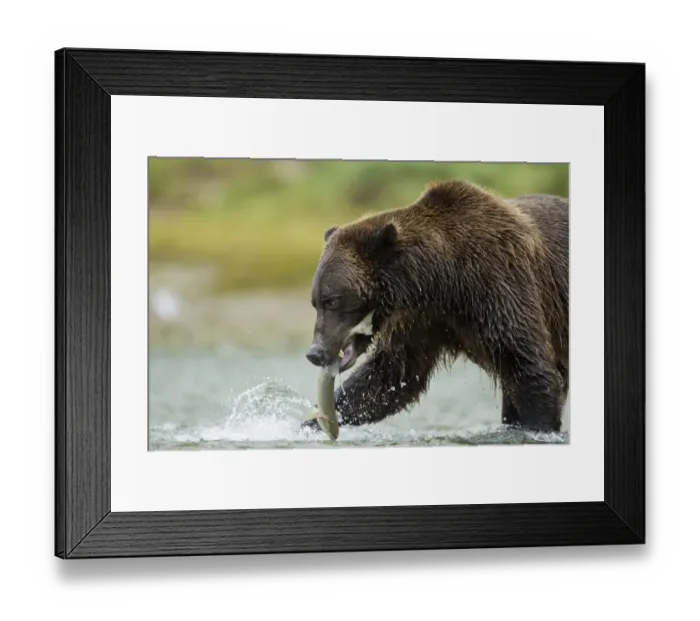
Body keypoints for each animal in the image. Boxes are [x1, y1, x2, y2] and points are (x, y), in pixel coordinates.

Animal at [302, 179, 569, 434]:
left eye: (332, 300)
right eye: (315, 303)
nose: (315, 353)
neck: (442, 279)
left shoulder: (499, 285)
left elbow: (530, 366)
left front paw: (538, 425)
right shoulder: (421, 319)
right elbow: (391, 376)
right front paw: (312, 422)